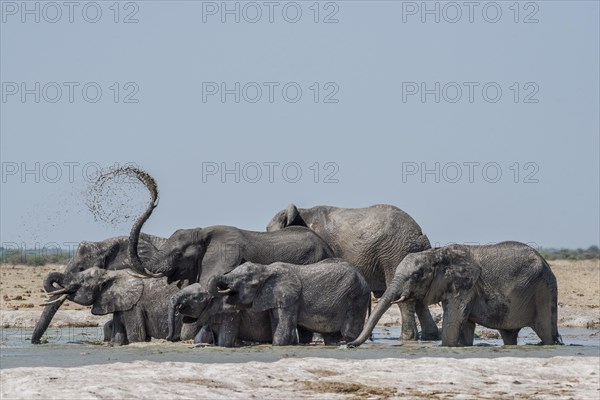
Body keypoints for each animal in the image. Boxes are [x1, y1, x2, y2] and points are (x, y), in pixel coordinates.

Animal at [42, 268, 185, 346]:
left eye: (81, 282)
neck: (111, 274)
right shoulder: (120, 304)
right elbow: (117, 339)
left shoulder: (133, 306)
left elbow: (137, 337)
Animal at [210, 258, 370, 346]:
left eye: (247, 281)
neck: (267, 268)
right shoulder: (276, 298)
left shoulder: (291, 298)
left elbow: (283, 330)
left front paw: (278, 344)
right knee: (331, 336)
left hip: (356, 298)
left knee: (349, 333)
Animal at [264, 203, 438, 340]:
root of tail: (420, 236)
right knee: (420, 297)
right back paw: (430, 337)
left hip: (396, 253)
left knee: (406, 298)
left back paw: (408, 338)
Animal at [346, 241, 564, 346]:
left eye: (416, 275)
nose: (349, 346)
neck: (437, 254)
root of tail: (546, 263)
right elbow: (464, 325)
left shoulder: (465, 286)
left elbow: (453, 321)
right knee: (508, 334)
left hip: (543, 291)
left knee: (545, 332)